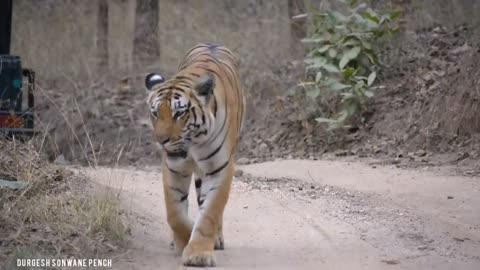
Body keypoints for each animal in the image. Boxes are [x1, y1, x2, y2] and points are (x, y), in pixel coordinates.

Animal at [144, 43, 246, 266]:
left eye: (179, 113)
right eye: (155, 113)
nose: (161, 140)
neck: (194, 143)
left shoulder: (220, 168)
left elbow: (210, 213)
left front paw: (198, 254)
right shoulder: (174, 167)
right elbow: (175, 213)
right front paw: (184, 239)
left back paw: (216, 239)